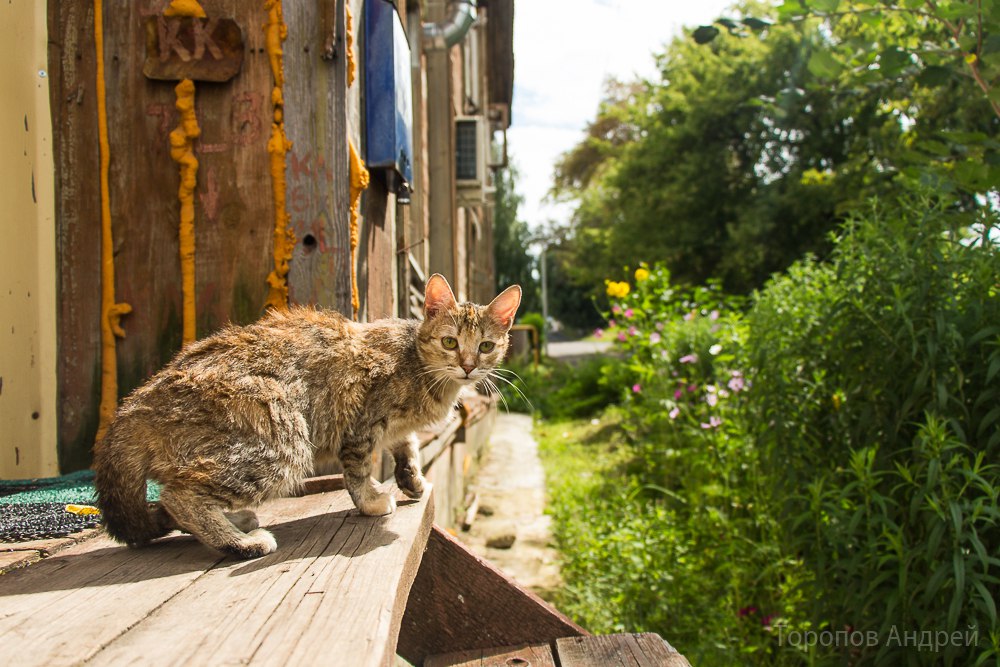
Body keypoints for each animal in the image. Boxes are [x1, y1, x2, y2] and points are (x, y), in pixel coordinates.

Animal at [92, 274, 524, 560]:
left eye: (486, 346)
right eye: (450, 342)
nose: (468, 366)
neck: (418, 364)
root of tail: (138, 403)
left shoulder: (395, 428)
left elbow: (408, 444)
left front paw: (411, 478)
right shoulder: (359, 421)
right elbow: (358, 471)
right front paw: (371, 500)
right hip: (283, 438)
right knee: (177, 495)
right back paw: (240, 541)